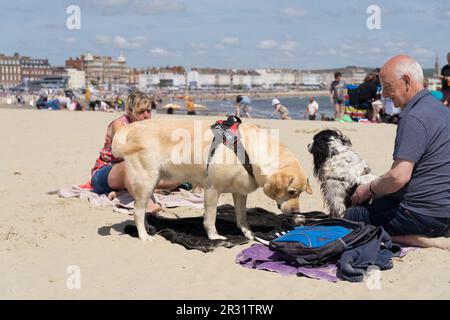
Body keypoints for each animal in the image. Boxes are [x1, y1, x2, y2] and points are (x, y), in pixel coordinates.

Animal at [111, 119, 312, 241]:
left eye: (301, 193)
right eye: (291, 191)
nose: (296, 212)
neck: (249, 150)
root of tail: (131, 127)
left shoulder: (240, 193)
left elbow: (242, 216)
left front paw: (247, 232)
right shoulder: (212, 189)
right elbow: (210, 218)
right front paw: (214, 237)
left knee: (141, 209)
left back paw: (148, 227)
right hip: (147, 181)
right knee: (137, 210)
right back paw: (143, 235)